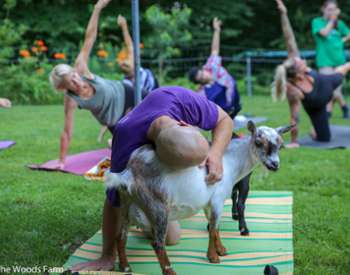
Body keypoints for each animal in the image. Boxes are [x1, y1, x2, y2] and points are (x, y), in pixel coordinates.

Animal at [105, 122, 292, 275]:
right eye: (259, 143)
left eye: (281, 146)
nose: (274, 165)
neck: (230, 162)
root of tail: (129, 173)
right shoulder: (217, 199)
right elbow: (213, 228)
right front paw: (213, 257)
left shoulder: (208, 203)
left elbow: (215, 227)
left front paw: (221, 250)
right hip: (157, 207)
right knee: (157, 243)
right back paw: (170, 272)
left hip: (126, 204)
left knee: (120, 236)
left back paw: (125, 267)